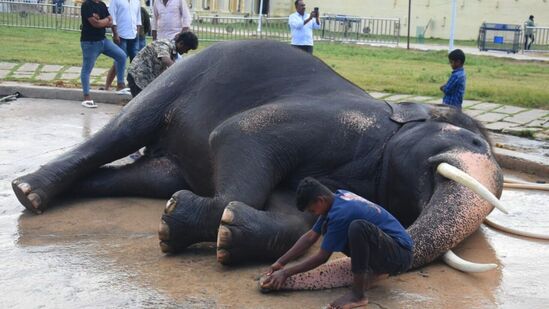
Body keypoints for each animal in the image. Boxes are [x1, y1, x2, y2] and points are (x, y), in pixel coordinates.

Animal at [10, 40, 506, 284]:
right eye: (472, 142)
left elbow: (295, 214)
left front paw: (228, 234)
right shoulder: (341, 121)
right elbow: (241, 132)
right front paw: (182, 222)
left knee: (143, 176)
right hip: (179, 79)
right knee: (124, 132)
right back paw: (27, 191)